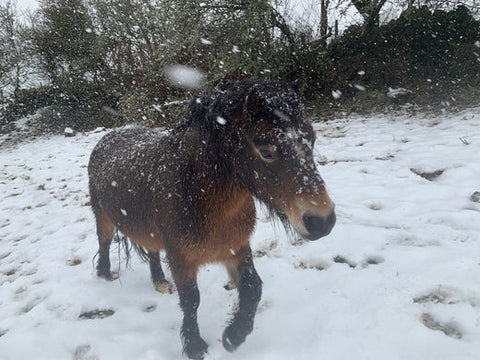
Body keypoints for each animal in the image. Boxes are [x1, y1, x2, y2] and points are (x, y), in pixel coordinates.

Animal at [88, 79, 336, 360]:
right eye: (265, 151)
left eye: (312, 140)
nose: (323, 220)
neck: (198, 195)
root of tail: (107, 138)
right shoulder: (181, 258)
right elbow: (191, 300)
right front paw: (195, 346)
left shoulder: (236, 247)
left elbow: (253, 287)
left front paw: (233, 337)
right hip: (103, 218)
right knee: (104, 243)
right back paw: (105, 276)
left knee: (151, 250)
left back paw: (159, 282)